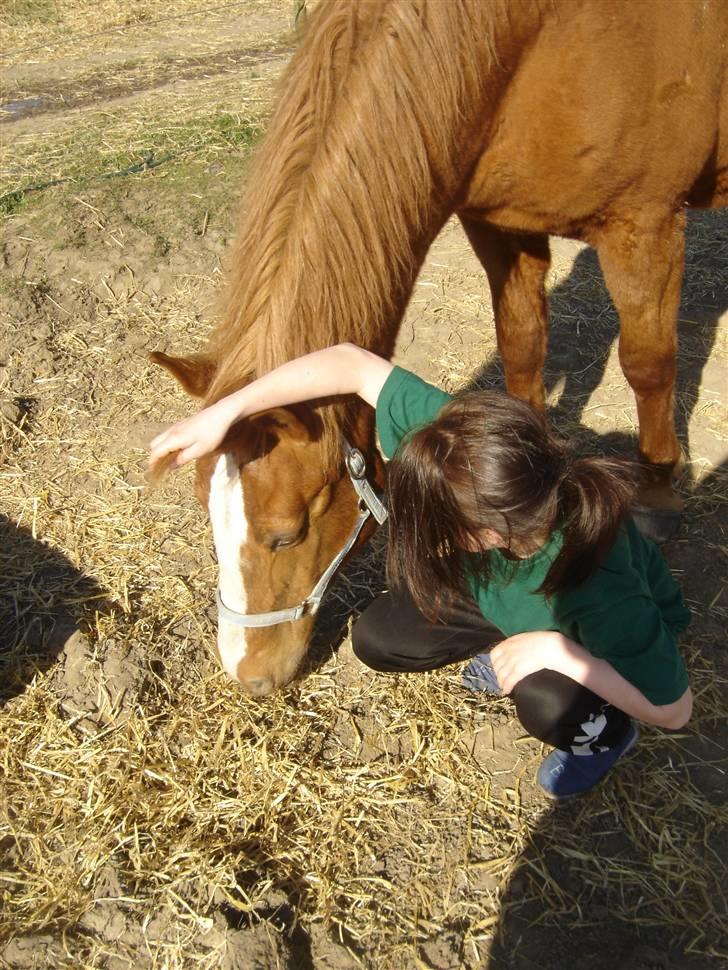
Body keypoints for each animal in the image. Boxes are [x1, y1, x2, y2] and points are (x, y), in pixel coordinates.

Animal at [151, 1, 724, 696]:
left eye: (286, 535)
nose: (248, 674)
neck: (535, 41)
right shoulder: (500, 225)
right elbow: (522, 348)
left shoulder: (644, 223)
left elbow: (648, 363)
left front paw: (658, 492)